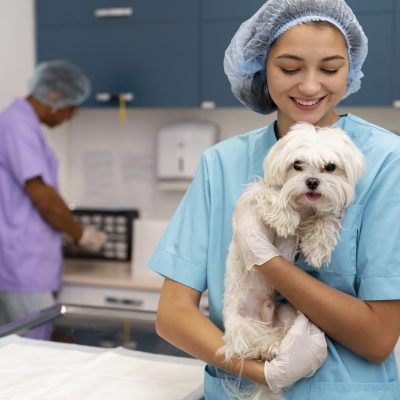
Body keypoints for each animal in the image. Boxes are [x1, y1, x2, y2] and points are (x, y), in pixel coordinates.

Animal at [219, 123, 366, 398]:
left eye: (330, 167)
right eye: (297, 164)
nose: (312, 182)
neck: (303, 204)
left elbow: (324, 217)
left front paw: (318, 245)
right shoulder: (257, 198)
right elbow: (270, 195)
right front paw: (285, 218)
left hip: (287, 313)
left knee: (280, 336)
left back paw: (279, 347)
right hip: (240, 327)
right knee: (247, 348)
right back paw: (264, 349)